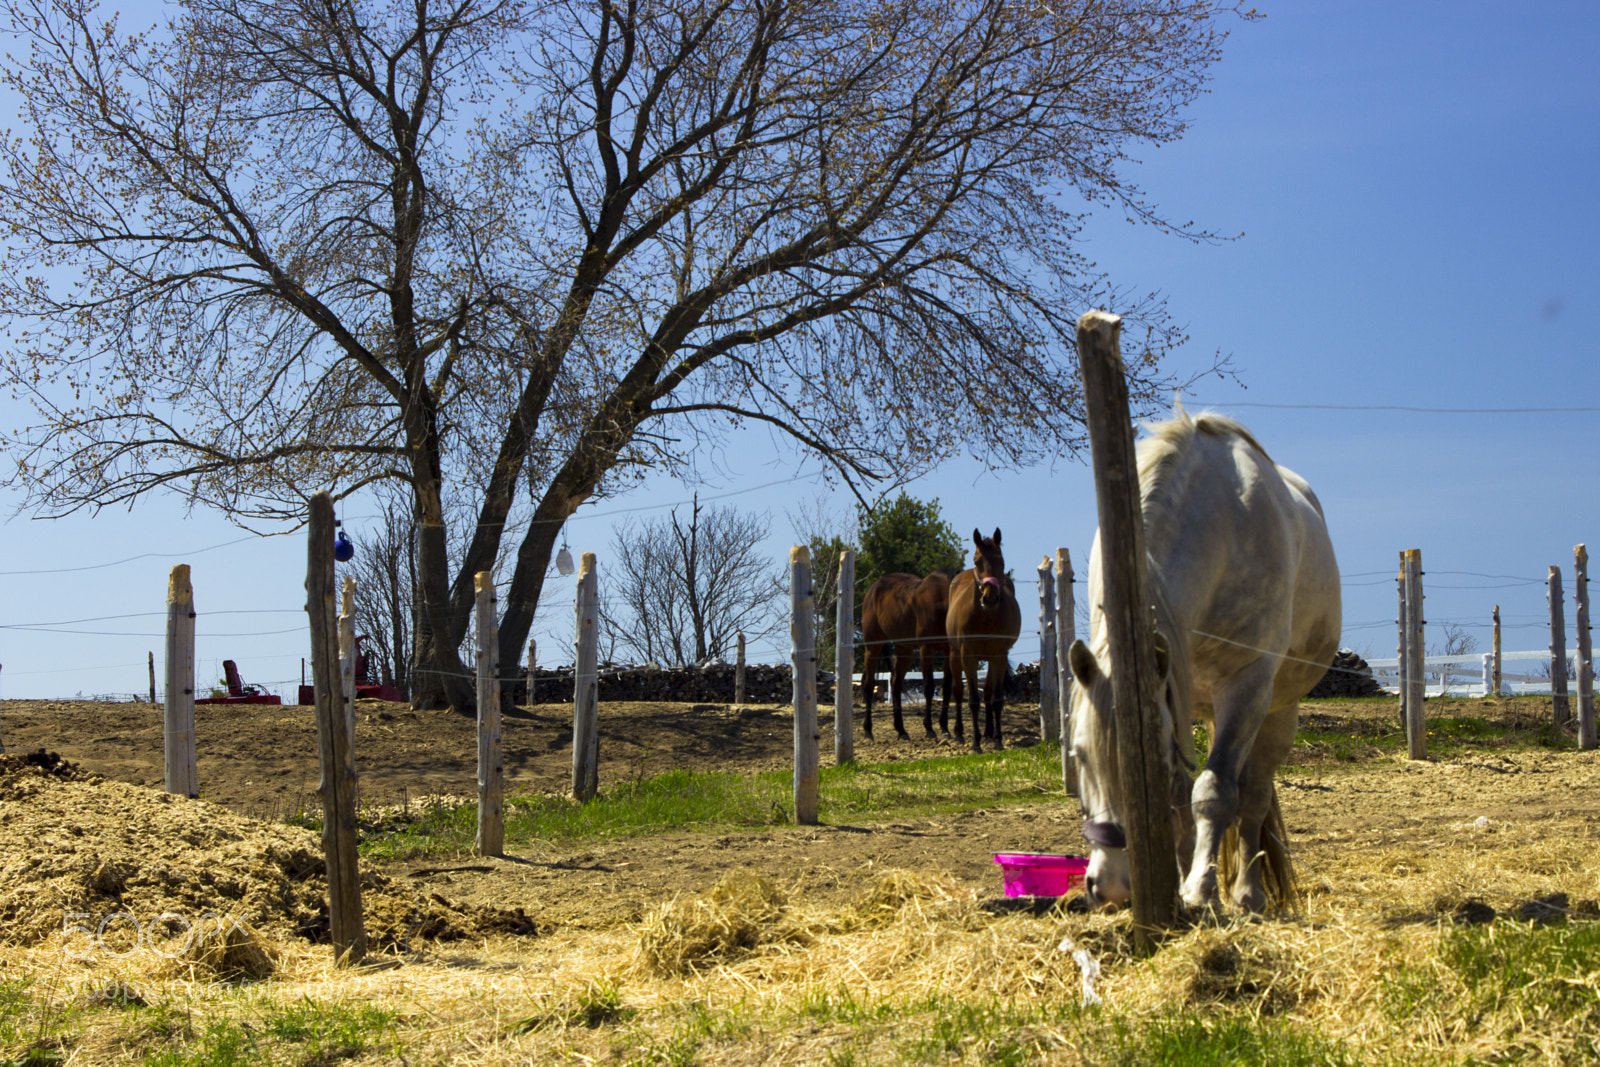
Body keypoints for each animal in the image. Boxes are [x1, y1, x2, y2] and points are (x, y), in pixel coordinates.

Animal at [860, 572, 952, 740]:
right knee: (869, 685)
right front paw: (929, 729)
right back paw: (868, 730)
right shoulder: (926, 649)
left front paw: (944, 729)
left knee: (895, 683)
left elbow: (947, 688)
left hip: (904, 649)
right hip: (873, 647)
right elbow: (929, 687)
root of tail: (873, 589)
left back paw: (901, 730)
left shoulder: (949, 651)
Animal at [946, 529, 1022, 752]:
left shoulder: (999, 656)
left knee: (987, 692)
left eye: (1001, 561)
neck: (985, 617)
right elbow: (972, 699)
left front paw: (997, 739)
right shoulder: (968, 656)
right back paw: (959, 733)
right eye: (977, 561)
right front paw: (975, 743)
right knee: (958, 692)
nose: (990, 598)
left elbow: (996, 698)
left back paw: (988, 732)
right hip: (955, 655)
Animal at [1065, 405, 1340, 914]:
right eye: (1079, 755)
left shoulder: (1246, 686)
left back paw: (1248, 893)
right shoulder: (1173, 694)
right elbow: (1178, 800)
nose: (1110, 887)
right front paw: (1174, 883)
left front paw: (1199, 889)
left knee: (1251, 798)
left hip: (1276, 710)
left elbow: (1214, 793)